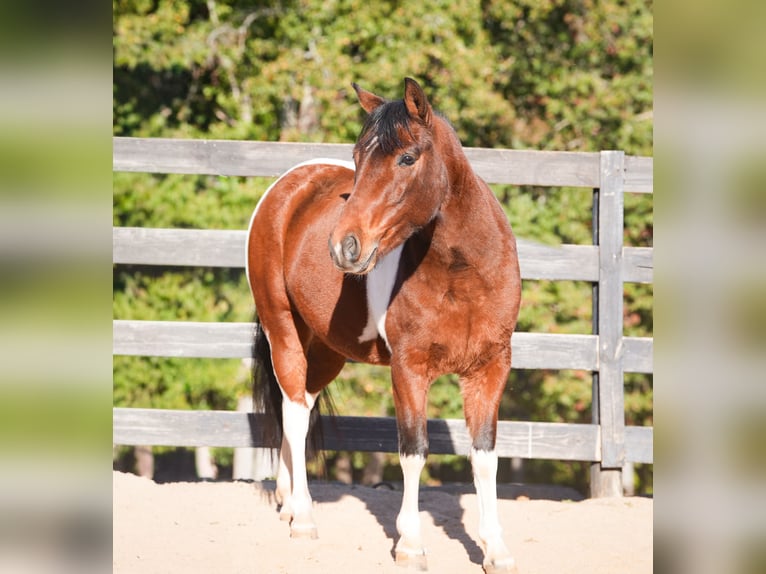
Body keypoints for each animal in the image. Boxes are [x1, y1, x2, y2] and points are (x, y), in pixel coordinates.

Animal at [246, 78, 521, 573]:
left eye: (407, 158)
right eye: (357, 157)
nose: (344, 246)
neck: (465, 275)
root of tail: (288, 187)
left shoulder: (490, 369)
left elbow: (484, 457)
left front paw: (496, 549)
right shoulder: (409, 369)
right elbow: (413, 452)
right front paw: (410, 545)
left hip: (326, 349)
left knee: (301, 406)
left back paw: (289, 503)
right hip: (284, 332)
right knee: (294, 413)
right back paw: (305, 518)